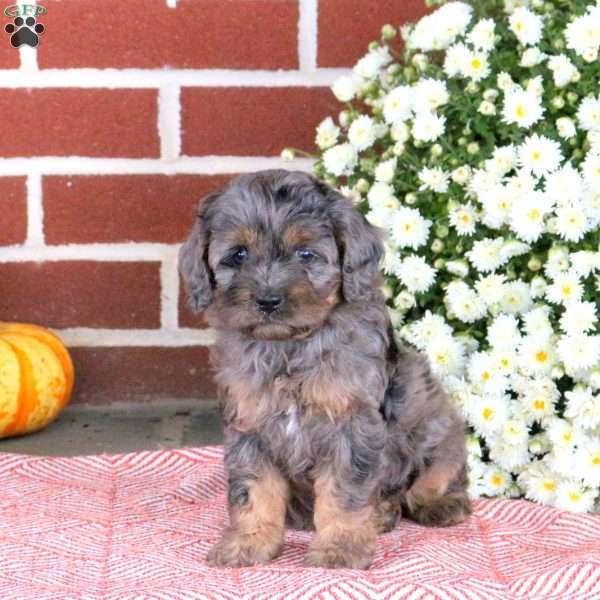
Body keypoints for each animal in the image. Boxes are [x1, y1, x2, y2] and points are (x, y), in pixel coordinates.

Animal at [180, 170, 472, 572]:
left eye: (306, 254)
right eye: (238, 254)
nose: (268, 300)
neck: (289, 346)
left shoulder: (350, 423)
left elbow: (344, 493)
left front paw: (340, 548)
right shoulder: (249, 427)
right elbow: (252, 490)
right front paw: (249, 541)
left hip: (428, 407)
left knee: (433, 475)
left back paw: (437, 503)